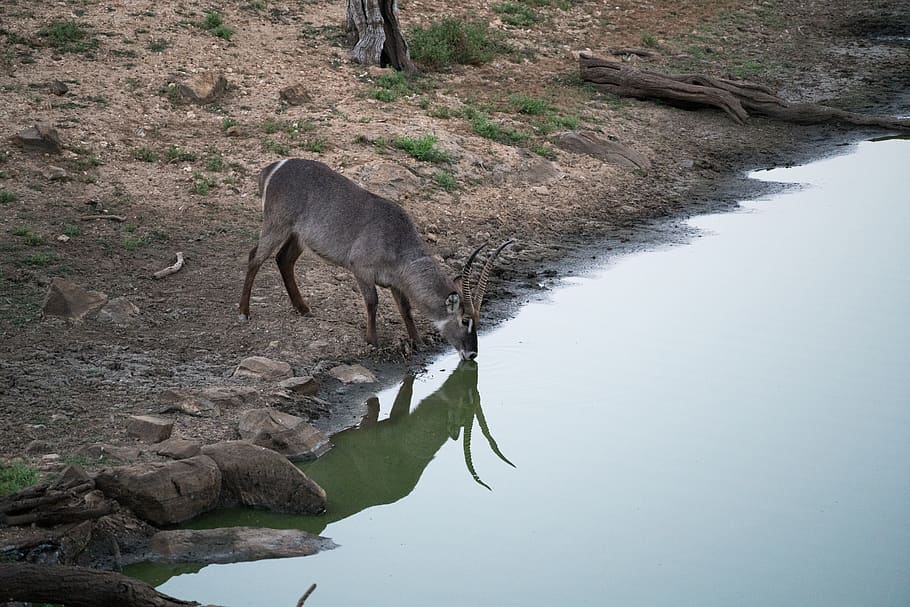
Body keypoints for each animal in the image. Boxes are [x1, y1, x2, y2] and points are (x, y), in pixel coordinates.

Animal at [240, 159, 512, 364]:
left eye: (478, 321)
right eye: (465, 320)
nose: (472, 353)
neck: (397, 240)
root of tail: (273, 167)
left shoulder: (396, 283)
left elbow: (406, 309)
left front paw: (417, 341)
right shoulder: (361, 270)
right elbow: (372, 302)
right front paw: (372, 340)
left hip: (299, 237)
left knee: (283, 260)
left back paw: (303, 308)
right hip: (276, 225)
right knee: (255, 257)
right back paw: (244, 312)